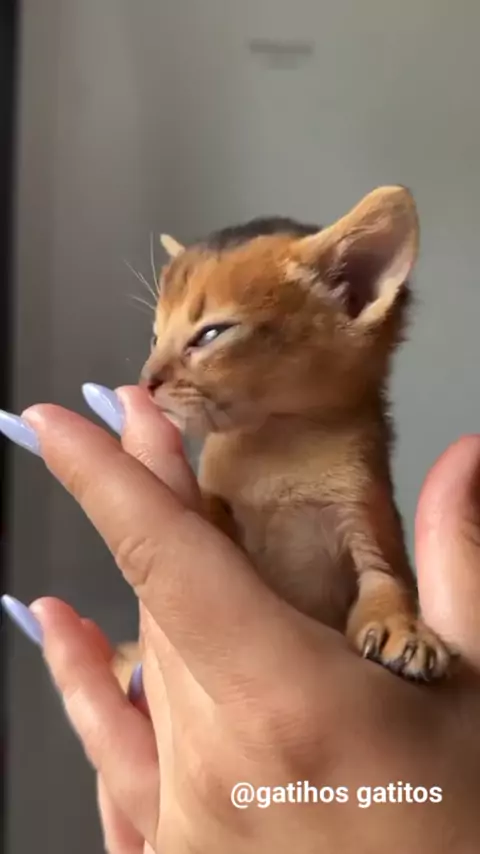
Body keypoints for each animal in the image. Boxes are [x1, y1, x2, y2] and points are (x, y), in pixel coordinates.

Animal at [115, 186, 450, 687]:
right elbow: (216, 506)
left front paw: (403, 627)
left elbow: (387, 581)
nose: (146, 381)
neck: (277, 450)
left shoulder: (366, 521)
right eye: (155, 338)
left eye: (210, 334)